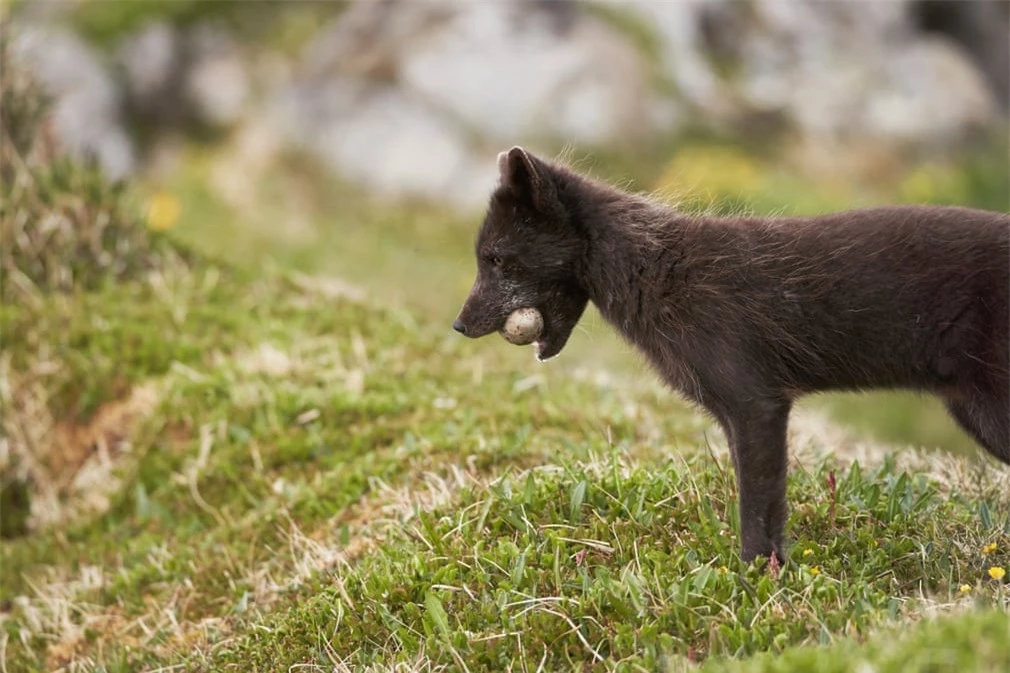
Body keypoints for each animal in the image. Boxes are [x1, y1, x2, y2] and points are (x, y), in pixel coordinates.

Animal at [458, 145, 1010, 561]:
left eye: (496, 259)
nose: (459, 326)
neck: (658, 272)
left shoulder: (757, 403)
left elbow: (759, 512)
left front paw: (758, 583)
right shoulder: (732, 413)